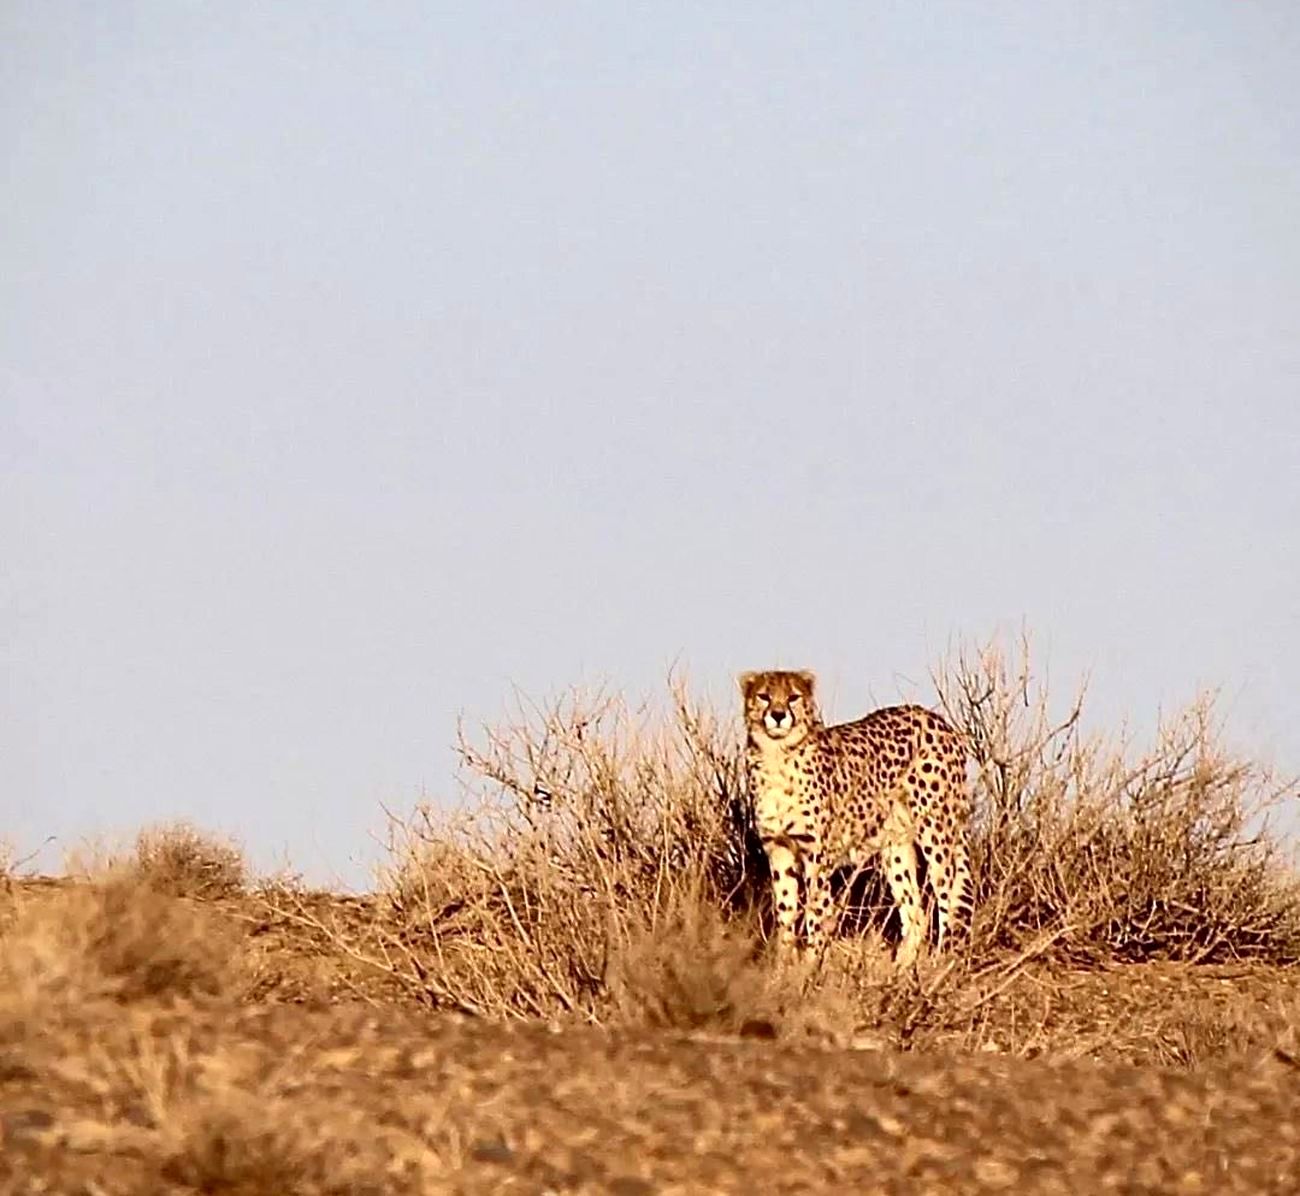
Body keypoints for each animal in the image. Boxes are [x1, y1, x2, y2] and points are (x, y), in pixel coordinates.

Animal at [743, 665, 977, 967]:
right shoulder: (779, 848)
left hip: (937, 830)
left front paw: (811, 966)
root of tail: (937, 720)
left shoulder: (816, 856)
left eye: (793, 697)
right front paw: (782, 966)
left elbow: (815, 912)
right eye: (764, 696)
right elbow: (786, 910)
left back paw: (939, 961)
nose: (778, 715)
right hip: (895, 844)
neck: (777, 756)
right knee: (915, 911)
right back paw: (900, 969)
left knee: (948, 894)